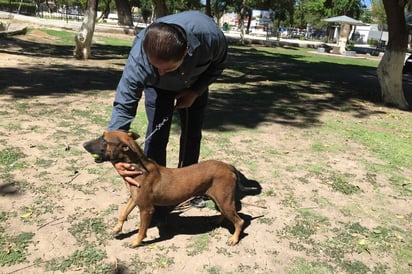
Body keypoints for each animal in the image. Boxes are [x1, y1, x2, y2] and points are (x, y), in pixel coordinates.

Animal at [81, 131, 246, 248]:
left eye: (104, 140)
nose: (84, 144)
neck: (138, 165)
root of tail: (228, 166)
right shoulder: (134, 198)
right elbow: (123, 213)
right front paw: (117, 228)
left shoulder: (146, 209)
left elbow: (142, 230)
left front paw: (136, 242)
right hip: (220, 199)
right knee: (225, 213)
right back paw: (217, 221)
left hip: (224, 200)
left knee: (239, 221)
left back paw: (234, 239)